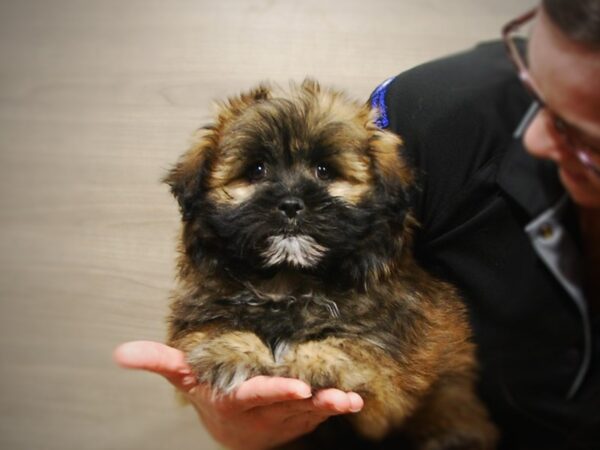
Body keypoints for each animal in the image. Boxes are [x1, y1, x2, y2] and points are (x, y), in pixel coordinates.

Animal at [163, 81, 496, 450]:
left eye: (324, 171)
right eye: (257, 170)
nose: (290, 204)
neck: (288, 279)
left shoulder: (395, 361)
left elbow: (363, 344)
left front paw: (319, 360)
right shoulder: (201, 305)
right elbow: (210, 323)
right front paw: (232, 350)